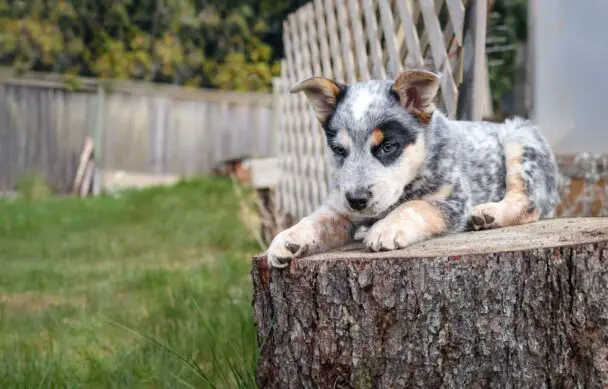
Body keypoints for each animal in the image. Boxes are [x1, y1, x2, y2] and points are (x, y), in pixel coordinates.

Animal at [266, 69, 560, 268]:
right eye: (339, 150)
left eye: (388, 147)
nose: (358, 200)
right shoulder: (340, 205)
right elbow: (316, 218)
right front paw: (287, 238)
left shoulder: (453, 201)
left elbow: (415, 205)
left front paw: (386, 227)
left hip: (520, 141)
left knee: (529, 202)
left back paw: (489, 213)